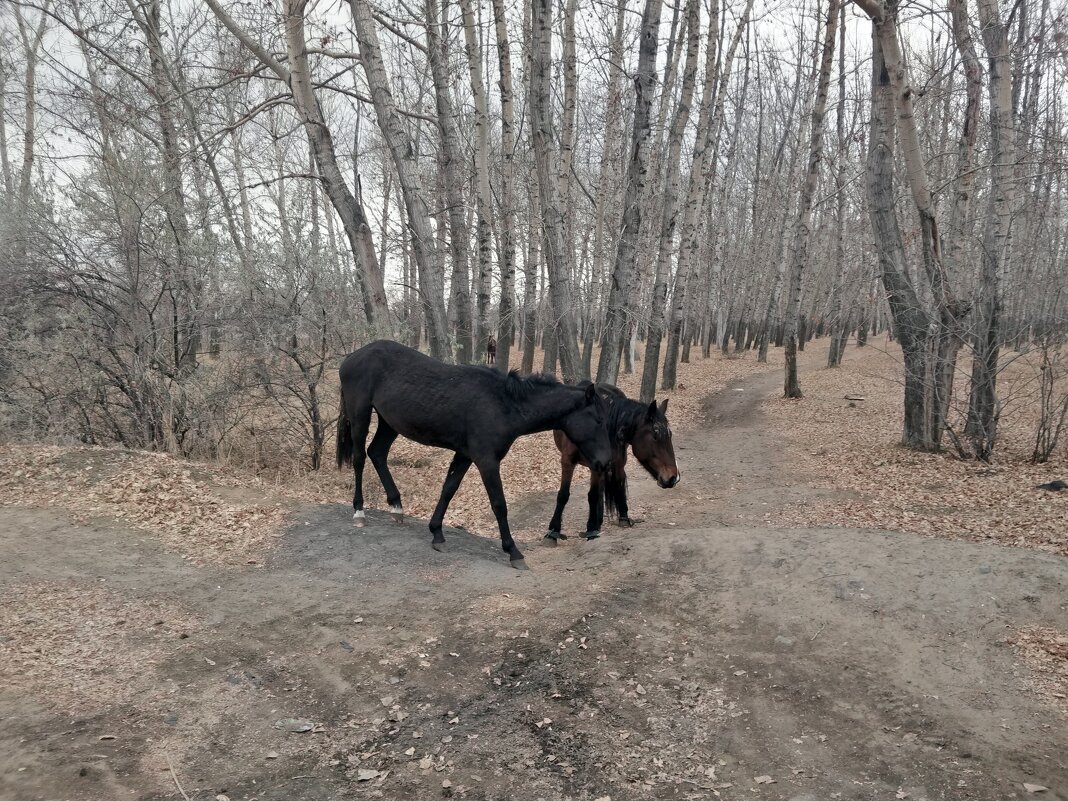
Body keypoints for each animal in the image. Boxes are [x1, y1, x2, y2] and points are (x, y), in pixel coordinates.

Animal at [337, 339, 615, 572]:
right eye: (599, 420)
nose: (605, 462)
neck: (504, 404)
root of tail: (353, 356)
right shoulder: (487, 462)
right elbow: (499, 504)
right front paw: (513, 551)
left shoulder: (464, 455)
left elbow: (448, 490)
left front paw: (437, 533)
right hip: (360, 415)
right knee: (360, 458)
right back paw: (359, 512)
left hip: (388, 423)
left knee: (377, 453)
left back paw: (396, 507)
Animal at [546, 384, 679, 546]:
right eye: (656, 435)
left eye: (670, 435)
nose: (672, 477)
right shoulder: (567, 461)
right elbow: (563, 495)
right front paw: (553, 532)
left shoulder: (599, 465)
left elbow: (593, 495)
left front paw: (591, 529)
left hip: (618, 462)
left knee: (617, 482)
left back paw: (621, 517)